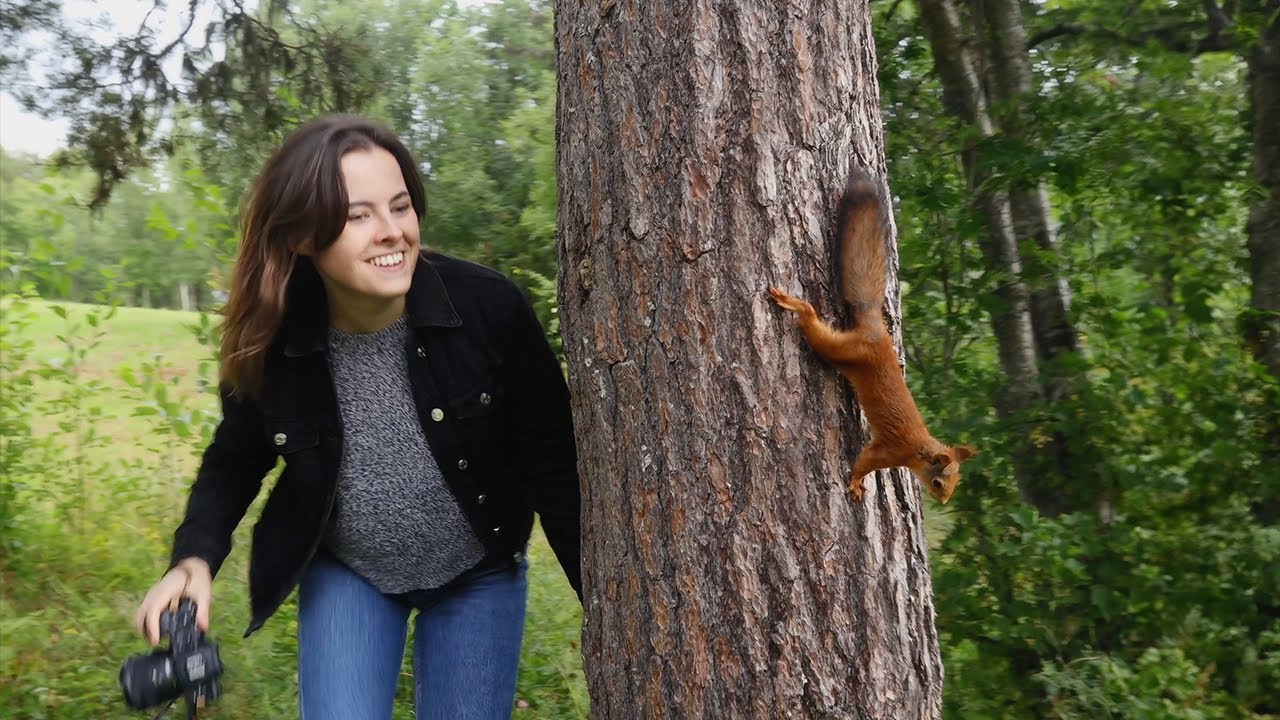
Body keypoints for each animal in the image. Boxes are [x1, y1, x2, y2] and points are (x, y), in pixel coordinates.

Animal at [768, 170, 976, 504]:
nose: (943, 501)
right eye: (938, 482)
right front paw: (854, 482)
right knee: (812, 320)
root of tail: (874, 329)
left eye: (955, 481)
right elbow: (864, 462)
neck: (919, 448)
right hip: (844, 348)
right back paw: (795, 304)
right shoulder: (890, 451)